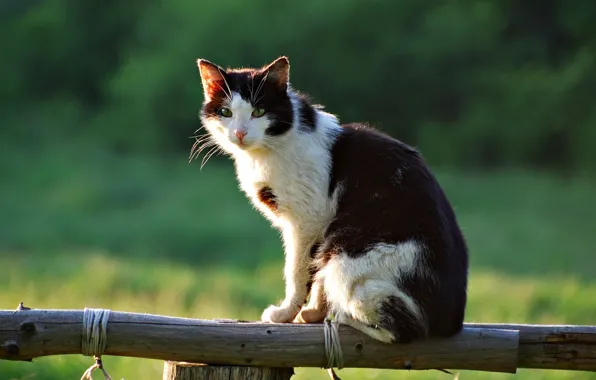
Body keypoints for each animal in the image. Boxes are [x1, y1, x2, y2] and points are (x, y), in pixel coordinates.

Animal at [193, 56, 468, 344]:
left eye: (258, 111)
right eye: (226, 112)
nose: (240, 133)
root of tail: (452, 321)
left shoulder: (308, 220)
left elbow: (298, 270)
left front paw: (285, 313)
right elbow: (316, 275)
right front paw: (313, 313)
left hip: (347, 260)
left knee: (403, 329)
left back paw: (345, 317)